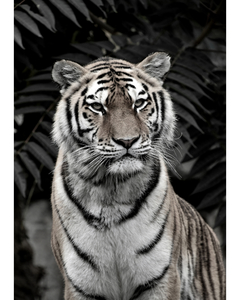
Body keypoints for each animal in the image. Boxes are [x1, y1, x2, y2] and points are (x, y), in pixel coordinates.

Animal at [50, 52, 225, 298]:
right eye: (97, 107)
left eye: (139, 103)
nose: (127, 141)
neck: (110, 189)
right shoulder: (81, 285)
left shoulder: (160, 278)